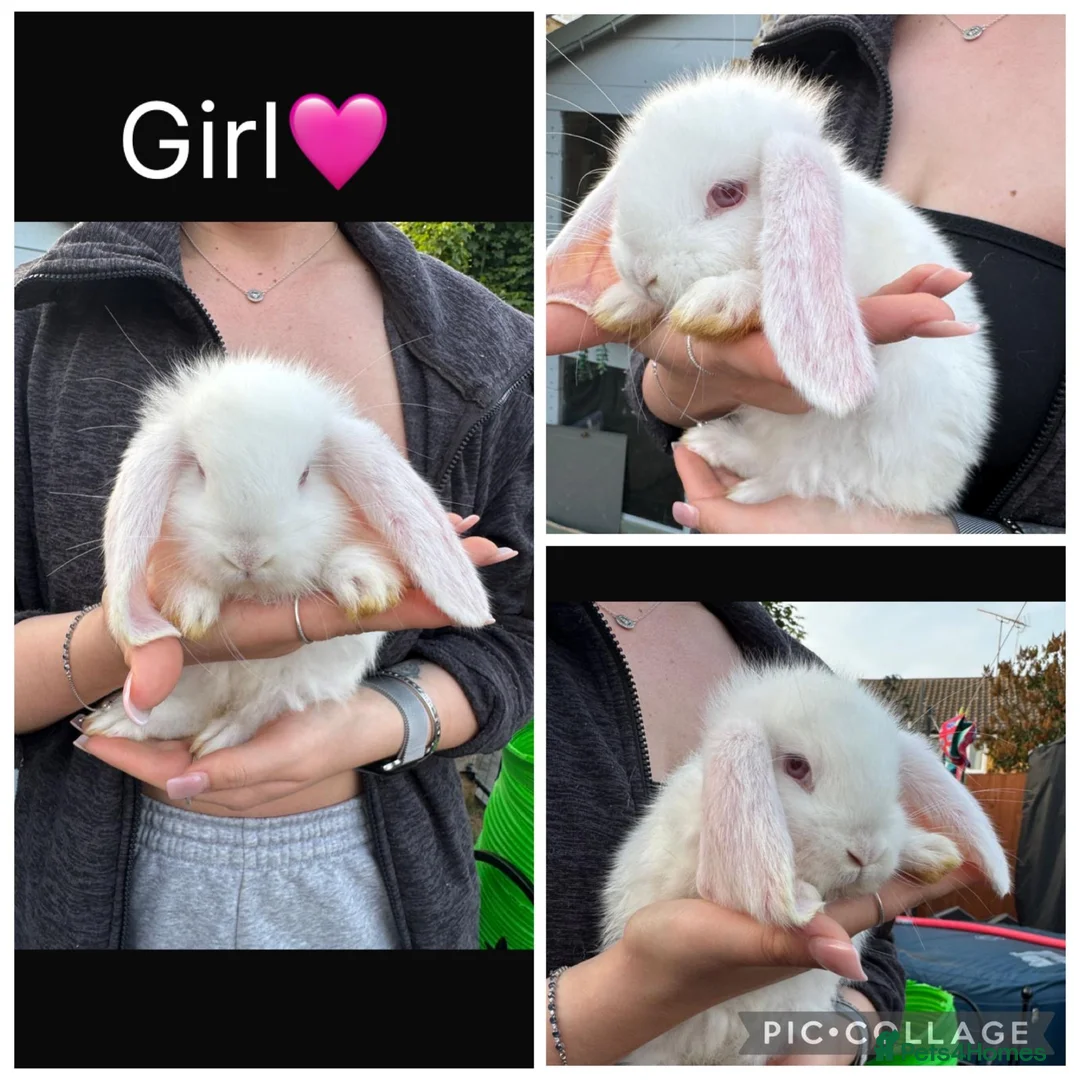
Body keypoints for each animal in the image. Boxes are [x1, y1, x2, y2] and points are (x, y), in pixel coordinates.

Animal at [84, 351, 492, 759]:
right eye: (200, 470)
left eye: (305, 475)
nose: (247, 556)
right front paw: (190, 609)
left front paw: (364, 585)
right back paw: (120, 724)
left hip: (299, 677)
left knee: (258, 709)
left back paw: (219, 736)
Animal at [549, 63, 996, 514]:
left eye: (727, 194)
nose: (641, 271)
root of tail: (930, 494)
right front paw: (621, 303)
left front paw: (714, 304)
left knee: (794, 472)